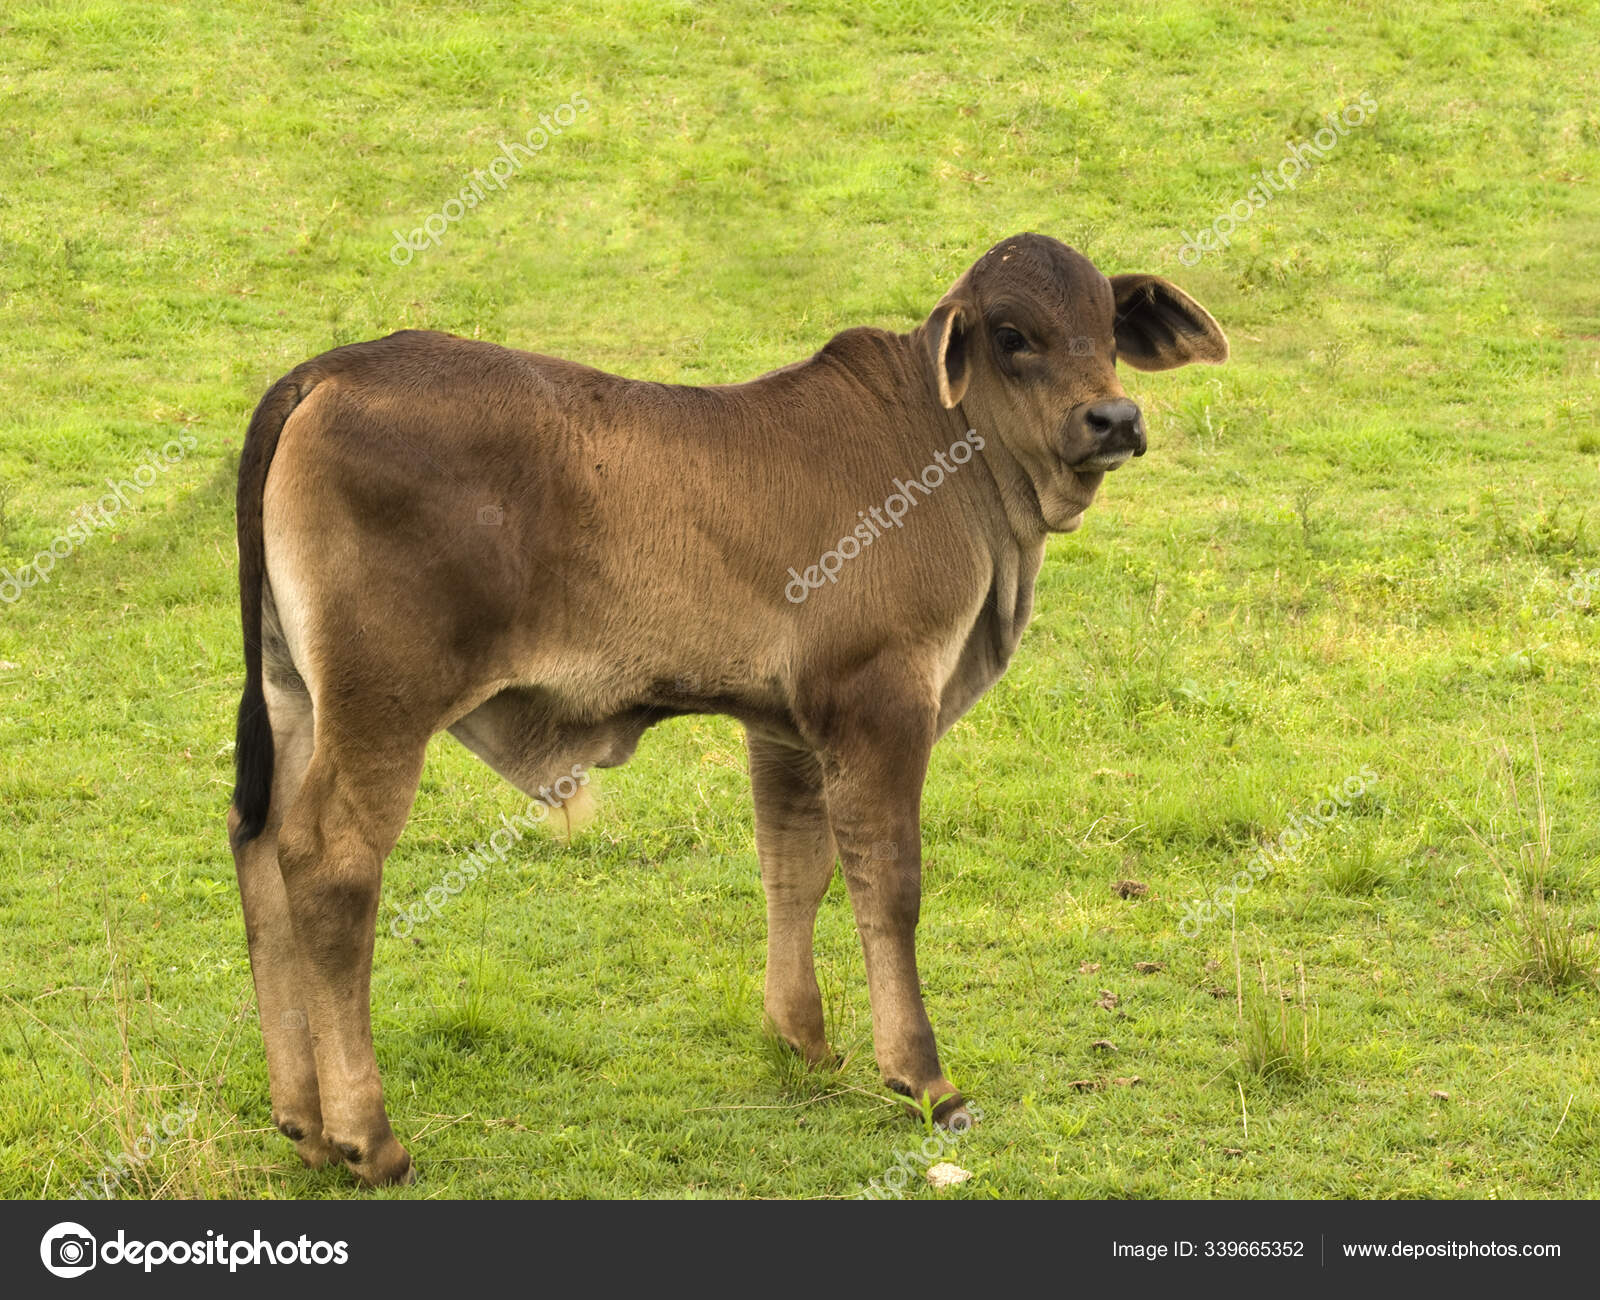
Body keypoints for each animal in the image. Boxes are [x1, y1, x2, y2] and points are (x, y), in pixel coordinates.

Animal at [228, 232, 1227, 1184]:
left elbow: (796, 867)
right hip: (381, 703)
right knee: (328, 861)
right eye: (1014, 337)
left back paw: (303, 1122)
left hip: (293, 696)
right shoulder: (879, 702)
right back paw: (367, 1137)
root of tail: (328, 371)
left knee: (260, 841)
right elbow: (889, 884)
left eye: (1108, 330)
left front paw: (803, 1040)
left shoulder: (787, 728)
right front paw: (923, 1078)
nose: (1114, 419)